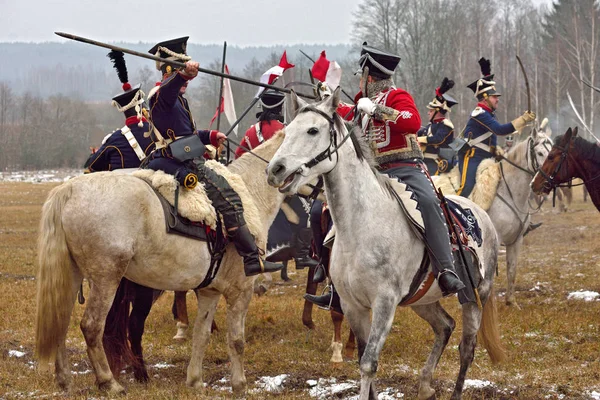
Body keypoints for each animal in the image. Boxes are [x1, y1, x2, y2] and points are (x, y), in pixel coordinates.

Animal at [36, 132, 288, 394]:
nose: (279, 172)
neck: (251, 191)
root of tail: (69, 189)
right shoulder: (241, 291)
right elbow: (237, 340)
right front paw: (239, 385)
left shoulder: (209, 291)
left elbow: (202, 334)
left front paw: (195, 381)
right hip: (107, 278)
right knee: (93, 326)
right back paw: (110, 382)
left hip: (73, 275)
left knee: (62, 322)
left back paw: (65, 380)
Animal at [264, 90, 504, 400]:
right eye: (287, 130)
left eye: (313, 130)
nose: (275, 170)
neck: (361, 226)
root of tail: (481, 214)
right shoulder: (352, 305)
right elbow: (363, 358)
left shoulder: (384, 303)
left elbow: (369, 363)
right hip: (422, 299)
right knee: (445, 327)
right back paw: (425, 385)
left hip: (476, 296)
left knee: (466, 349)